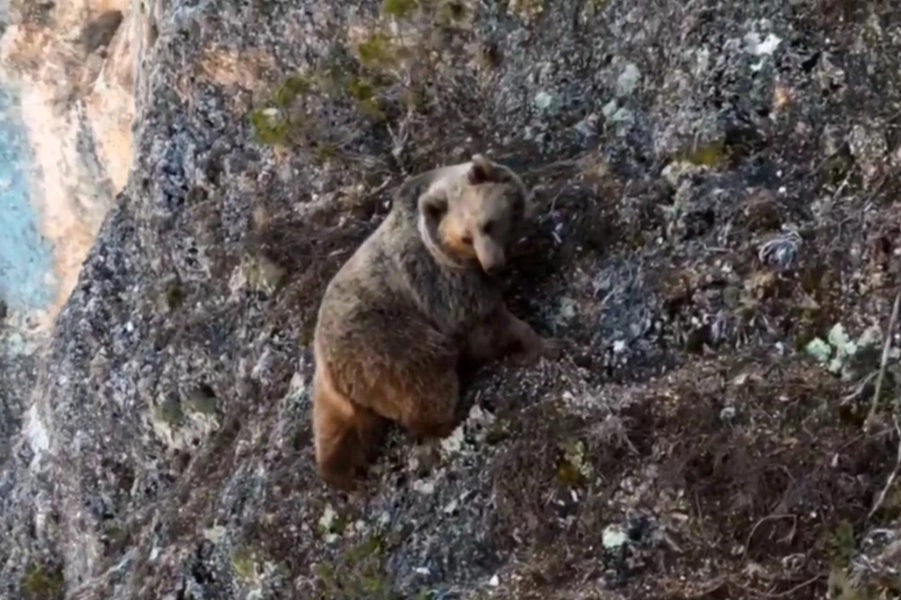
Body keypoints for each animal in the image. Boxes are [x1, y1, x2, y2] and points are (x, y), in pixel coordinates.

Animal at [312, 152, 556, 490]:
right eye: (466, 237)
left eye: (489, 224)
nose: (493, 265)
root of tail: (329, 365)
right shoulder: (443, 285)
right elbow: (485, 324)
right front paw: (537, 342)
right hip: (389, 344)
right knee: (426, 378)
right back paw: (449, 415)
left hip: (333, 393)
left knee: (335, 430)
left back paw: (338, 468)